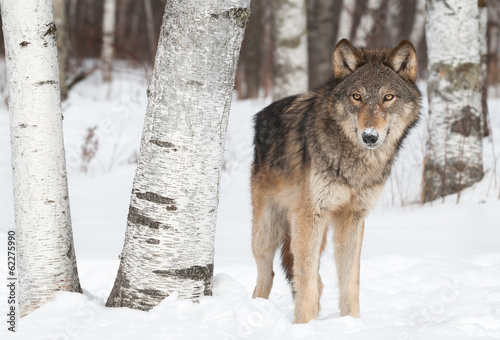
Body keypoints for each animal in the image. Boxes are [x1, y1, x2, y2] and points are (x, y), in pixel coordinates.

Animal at [252, 38, 420, 322]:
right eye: (357, 96)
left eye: (388, 97)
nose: (370, 136)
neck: (356, 165)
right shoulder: (311, 214)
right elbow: (306, 281)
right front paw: (304, 325)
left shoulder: (353, 216)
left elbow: (350, 279)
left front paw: (352, 322)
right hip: (268, 232)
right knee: (267, 276)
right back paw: (255, 311)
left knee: (314, 278)